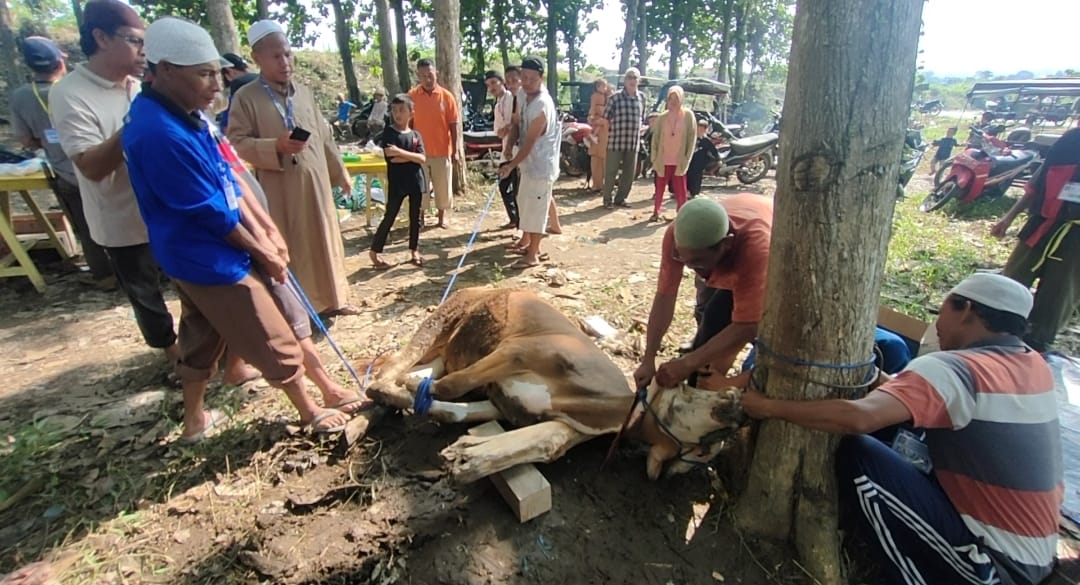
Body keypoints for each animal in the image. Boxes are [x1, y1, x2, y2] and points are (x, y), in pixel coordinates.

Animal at [362, 287, 743, 483]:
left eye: (704, 452)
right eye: (693, 392)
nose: (737, 403)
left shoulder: (508, 404)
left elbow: (458, 410)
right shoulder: (524, 349)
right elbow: (451, 387)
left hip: (447, 346)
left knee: (406, 372)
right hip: (440, 321)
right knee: (388, 369)